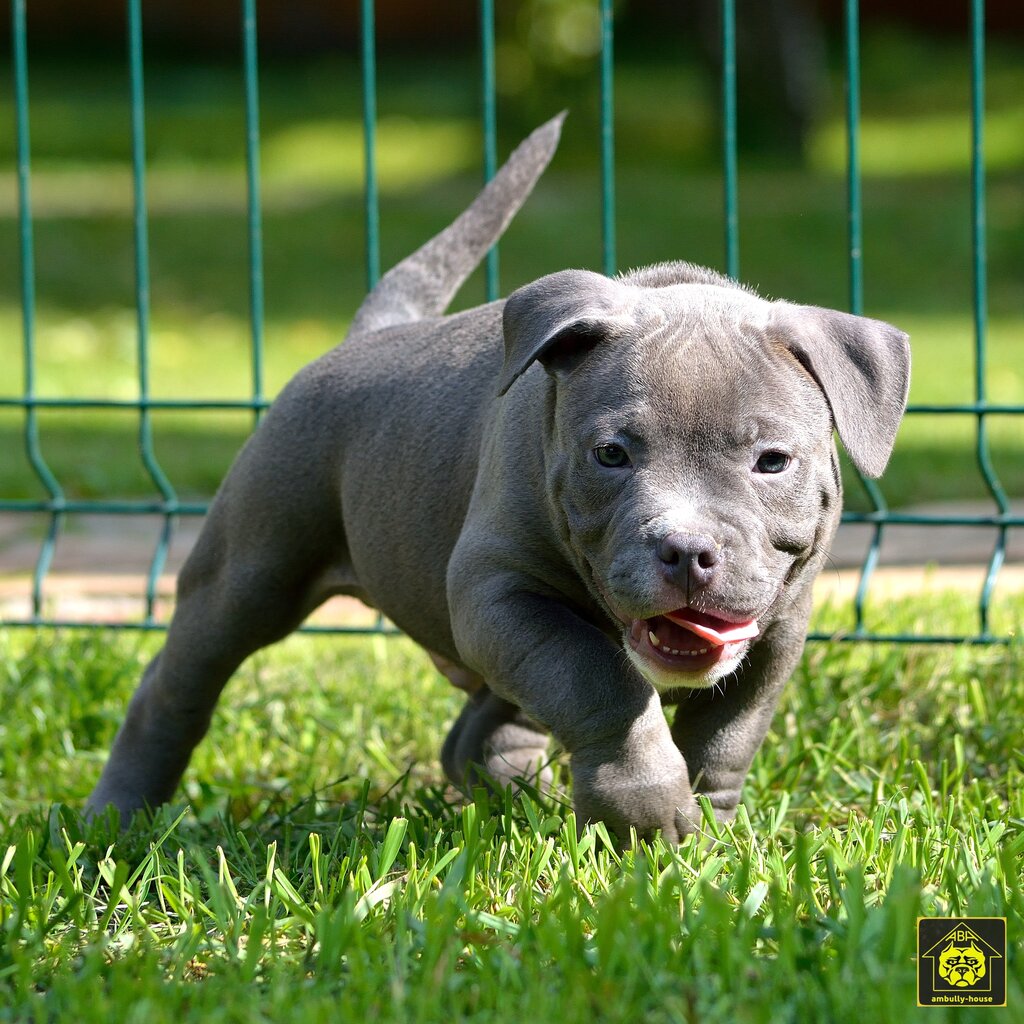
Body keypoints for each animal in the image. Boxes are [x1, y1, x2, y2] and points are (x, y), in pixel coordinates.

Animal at [83, 116, 909, 843]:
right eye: (611, 455)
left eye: (772, 461)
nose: (685, 552)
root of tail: (373, 335)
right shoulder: (499, 593)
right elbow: (598, 681)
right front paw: (648, 813)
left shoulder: (778, 628)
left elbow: (726, 733)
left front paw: (707, 833)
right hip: (251, 568)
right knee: (177, 685)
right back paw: (116, 819)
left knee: (478, 731)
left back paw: (526, 801)